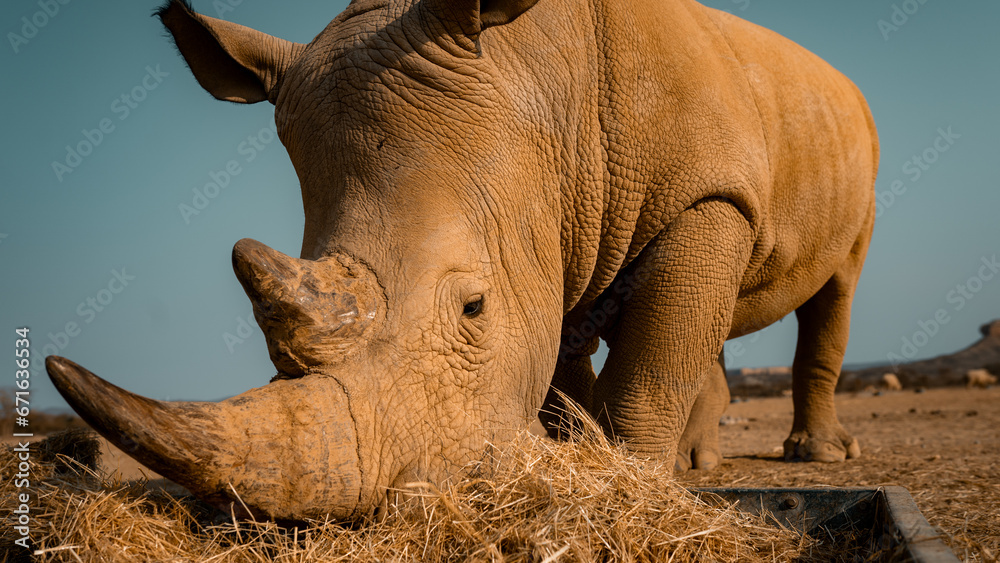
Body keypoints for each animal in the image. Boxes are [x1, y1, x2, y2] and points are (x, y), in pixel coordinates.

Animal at [46, 0, 878, 521]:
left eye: (473, 307)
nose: (394, 502)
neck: (543, 84)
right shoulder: (552, 219)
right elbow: (564, 364)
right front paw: (572, 466)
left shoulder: (706, 195)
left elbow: (648, 369)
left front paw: (631, 490)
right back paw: (701, 462)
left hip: (852, 146)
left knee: (834, 287)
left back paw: (814, 456)